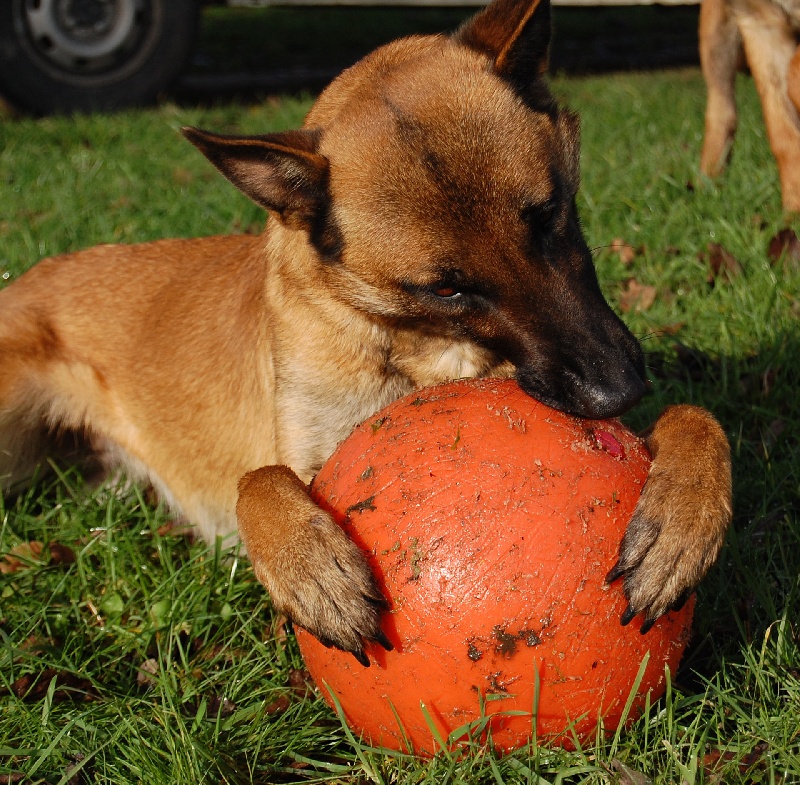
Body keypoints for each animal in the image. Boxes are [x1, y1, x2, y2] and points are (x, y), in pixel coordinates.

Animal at [0, 0, 732, 664]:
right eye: (448, 288)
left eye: (549, 215)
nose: (620, 389)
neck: (415, 347)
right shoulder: (307, 458)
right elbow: (260, 477)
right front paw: (311, 567)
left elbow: (697, 417)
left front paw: (681, 521)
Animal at [700, 0, 800, 211]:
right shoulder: (760, 24)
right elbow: (783, 137)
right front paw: (794, 211)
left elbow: (794, 70)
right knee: (721, 109)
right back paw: (707, 186)